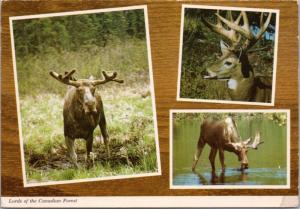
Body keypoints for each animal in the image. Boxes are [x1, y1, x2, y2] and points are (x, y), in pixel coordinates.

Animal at [9, 6, 159, 186]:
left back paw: (109, 157)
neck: (79, 121)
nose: (91, 105)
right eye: (79, 90)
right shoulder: (67, 134)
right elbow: (72, 156)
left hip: (103, 118)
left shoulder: (89, 134)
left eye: (93, 89)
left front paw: (88, 167)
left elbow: (88, 154)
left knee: (106, 137)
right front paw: (76, 169)